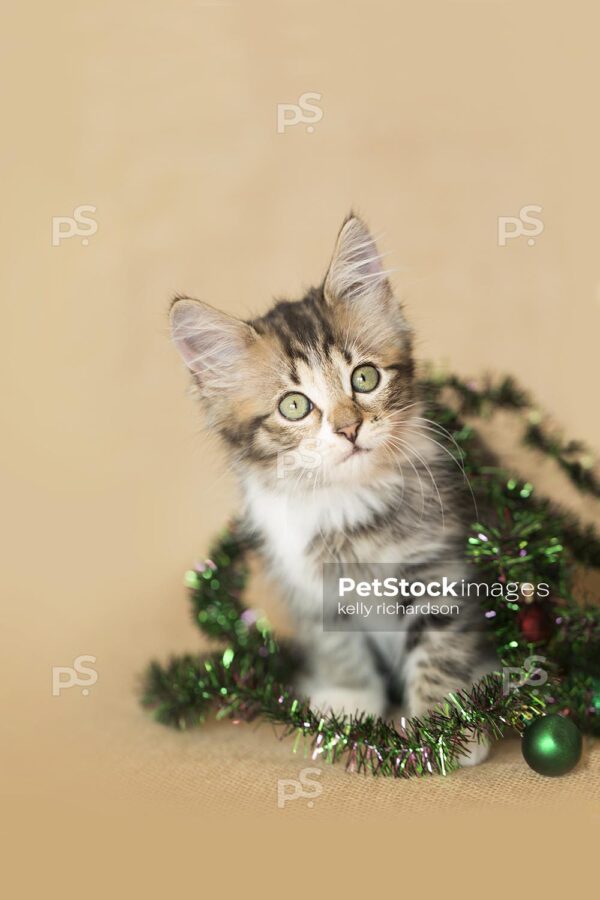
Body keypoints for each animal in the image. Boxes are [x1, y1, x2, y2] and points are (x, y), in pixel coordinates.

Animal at [171, 213, 494, 768]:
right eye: (294, 406)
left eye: (364, 378)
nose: (349, 429)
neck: (346, 500)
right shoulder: (306, 581)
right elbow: (338, 645)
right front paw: (349, 699)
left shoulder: (439, 565)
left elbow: (441, 644)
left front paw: (445, 725)